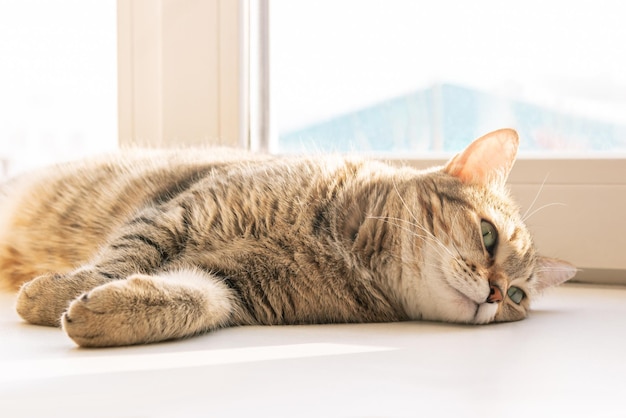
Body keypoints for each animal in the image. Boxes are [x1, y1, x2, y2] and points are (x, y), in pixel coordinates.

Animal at [0, 129, 576, 348]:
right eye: (488, 235)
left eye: (519, 296)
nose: (497, 293)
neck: (339, 247)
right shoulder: (181, 209)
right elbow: (121, 257)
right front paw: (52, 295)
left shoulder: (233, 288)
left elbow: (193, 300)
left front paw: (106, 314)